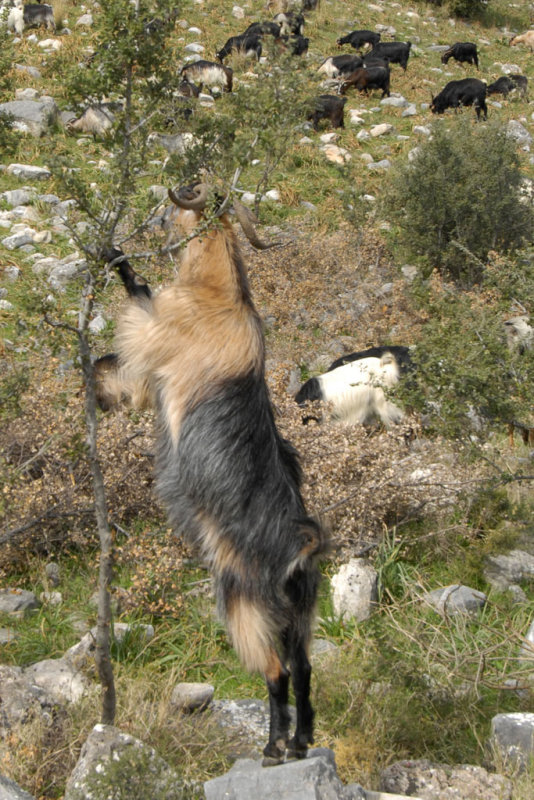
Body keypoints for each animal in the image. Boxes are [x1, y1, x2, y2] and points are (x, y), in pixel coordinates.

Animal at [96, 184, 330, 764]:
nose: (159, 215)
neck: (221, 292)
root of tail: (298, 548)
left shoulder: (156, 338)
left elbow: (138, 299)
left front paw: (114, 254)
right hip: (300, 614)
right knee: (303, 667)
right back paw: (300, 741)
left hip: (244, 602)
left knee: (274, 672)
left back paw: (272, 745)